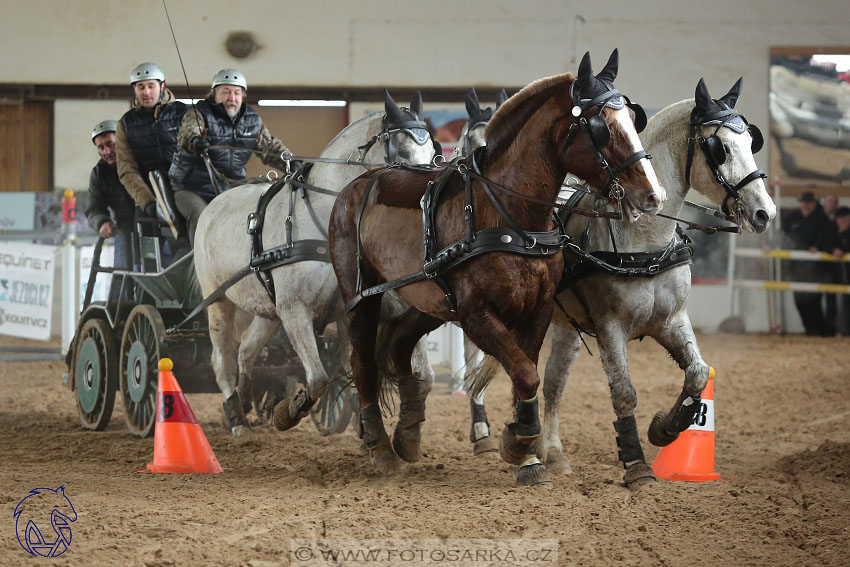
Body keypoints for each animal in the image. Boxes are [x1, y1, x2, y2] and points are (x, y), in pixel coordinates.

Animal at [195, 92, 434, 440]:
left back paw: (248, 400)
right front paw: (286, 413)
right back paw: (236, 417)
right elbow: (319, 378)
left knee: (247, 352)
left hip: (268, 310)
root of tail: (214, 203)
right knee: (221, 359)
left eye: (432, 151)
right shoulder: (295, 310)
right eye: (401, 151)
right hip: (218, 300)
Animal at [328, 50, 664, 488]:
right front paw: (520, 446)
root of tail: (356, 185)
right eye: (601, 127)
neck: (511, 218)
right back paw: (381, 449)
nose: (653, 195)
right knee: (364, 363)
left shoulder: (537, 311)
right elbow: (524, 374)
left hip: (430, 301)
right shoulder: (476, 314)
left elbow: (526, 376)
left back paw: (408, 433)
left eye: (632, 118)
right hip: (361, 298)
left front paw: (525, 450)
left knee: (398, 348)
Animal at [464, 79, 776, 488]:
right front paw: (637, 465)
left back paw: (553, 453)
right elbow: (624, 393)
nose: (765, 212)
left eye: (751, 141)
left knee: (552, 381)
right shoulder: (610, 325)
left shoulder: (672, 319)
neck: (646, 242)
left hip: (566, 326)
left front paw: (665, 428)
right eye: (719, 148)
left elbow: (697, 373)